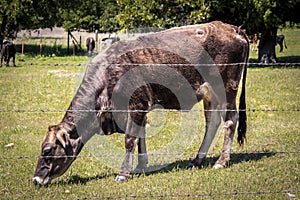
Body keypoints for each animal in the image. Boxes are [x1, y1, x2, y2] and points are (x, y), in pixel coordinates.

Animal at [32, 21, 248, 185]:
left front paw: (122, 173)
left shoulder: (137, 104)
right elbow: (140, 137)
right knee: (212, 122)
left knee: (230, 120)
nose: (36, 179)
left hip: (227, 87)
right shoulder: (137, 109)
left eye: (47, 150)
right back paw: (197, 160)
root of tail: (232, 28)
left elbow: (130, 139)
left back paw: (221, 161)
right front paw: (140, 166)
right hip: (210, 95)